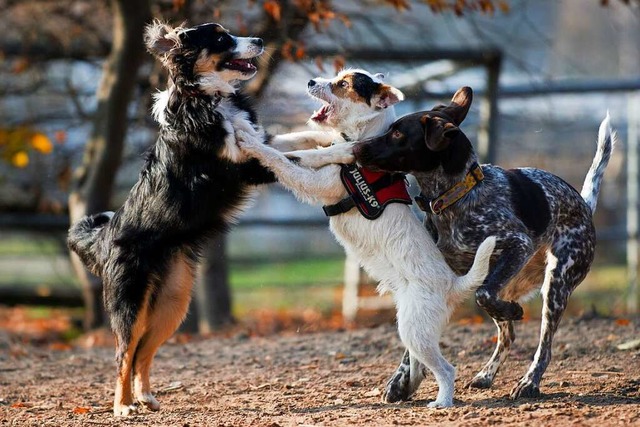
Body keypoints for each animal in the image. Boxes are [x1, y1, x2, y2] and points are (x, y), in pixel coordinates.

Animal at [235, 69, 496, 408]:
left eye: (343, 84)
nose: (310, 82)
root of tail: (454, 284)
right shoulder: (321, 142)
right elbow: (298, 141)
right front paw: (248, 129)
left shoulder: (315, 182)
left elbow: (280, 160)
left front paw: (251, 144)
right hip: (415, 331)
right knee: (421, 365)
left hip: (413, 330)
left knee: (446, 368)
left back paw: (442, 401)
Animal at [352, 86, 616, 402]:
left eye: (397, 133)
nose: (356, 148)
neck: (454, 197)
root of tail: (585, 205)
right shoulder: (431, 277)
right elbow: (416, 337)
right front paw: (402, 380)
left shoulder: (517, 243)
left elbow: (483, 295)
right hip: (514, 281)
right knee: (508, 334)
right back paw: (487, 374)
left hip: (557, 282)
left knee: (544, 344)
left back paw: (530, 381)